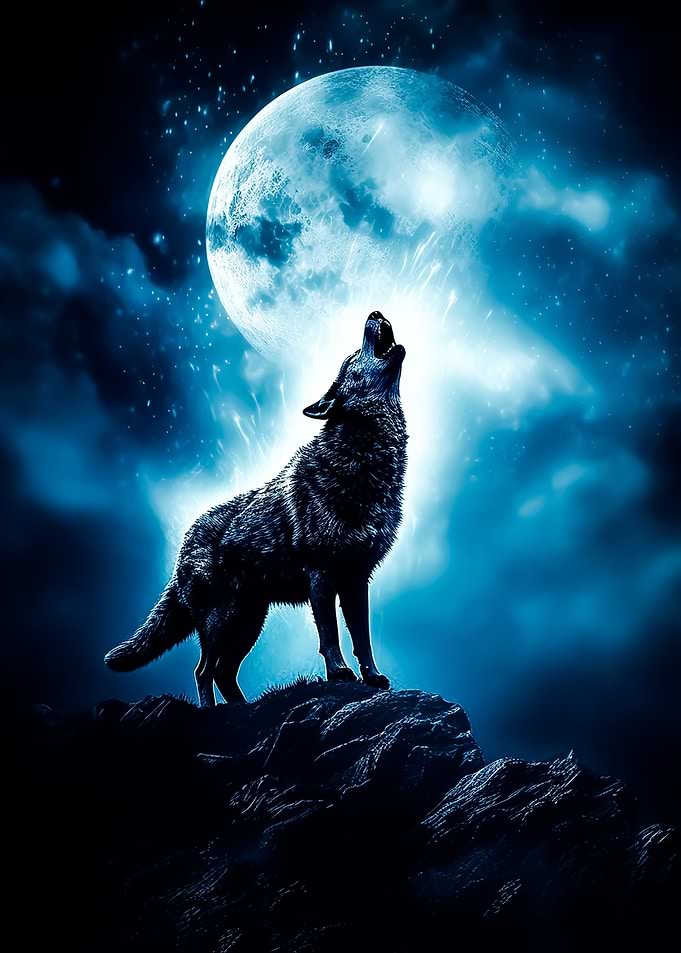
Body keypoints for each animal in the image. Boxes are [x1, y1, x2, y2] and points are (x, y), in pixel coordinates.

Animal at [104, 311, 407, 706]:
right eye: (354, 355)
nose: (374, 314)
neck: (364, 462)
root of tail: (181, 548)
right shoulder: (322, 575)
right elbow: (330, 635)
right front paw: (340, 674)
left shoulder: (357, 578)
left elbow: (362, 638)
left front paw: (372, 678)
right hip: (225, 621)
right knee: (202, 670)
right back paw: (212, 712)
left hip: (248, 622)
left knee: (222, 672)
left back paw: (242, 708)